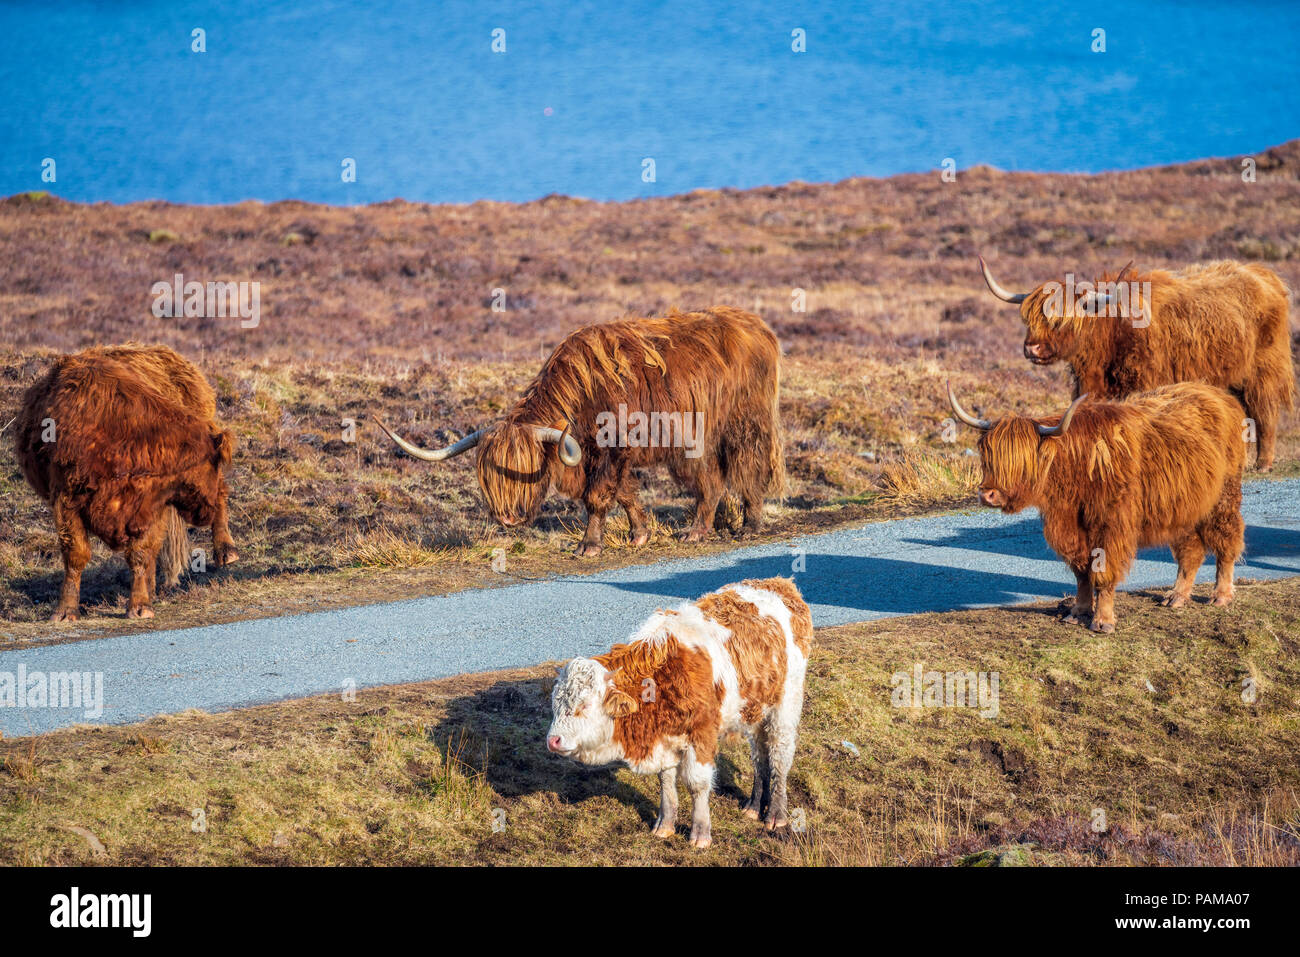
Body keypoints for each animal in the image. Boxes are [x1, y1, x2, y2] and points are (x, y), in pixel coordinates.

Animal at [13, 343, 239, 621]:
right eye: (212, 464)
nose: (204, 511)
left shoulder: (151, 508)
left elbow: (141, 553)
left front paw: (140, 607)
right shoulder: (66, 499)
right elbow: (76, 554)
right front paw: (65, 612)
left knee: (222, 493)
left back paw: (226, 551)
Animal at [371, 306, 785, 556]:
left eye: (526, 469)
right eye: (491, 477)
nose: (507, 519)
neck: (584, 398)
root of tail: (756, 325)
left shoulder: (612, 451)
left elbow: (599, 497)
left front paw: (589, 545)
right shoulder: (608, 458)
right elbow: (625, 494)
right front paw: (639, 533)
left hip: (745, 424)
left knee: (748, 469)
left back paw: (746, 526)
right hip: (700, 439)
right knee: (711, 480)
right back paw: (703, 529)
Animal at [543, 574, 806, 842]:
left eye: (585, 704)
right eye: (555, 703)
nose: (553, 740)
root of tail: (779, 583)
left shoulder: (701, 735)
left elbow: (697, 784)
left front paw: (700, 833)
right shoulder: (665, 740)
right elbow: (666, 781)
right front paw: (665, 824)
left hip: (785, 707)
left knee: (780, 757)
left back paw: (776, 815)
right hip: (756, 711)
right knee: (759, 756)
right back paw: (754, 806)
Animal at [951, 382, 1242, 634]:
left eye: (1021, 460)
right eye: (988, 456)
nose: (988, 494)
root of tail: (1216, 393)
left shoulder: (1109, 527)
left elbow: (1102, 573)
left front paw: (1103, 621)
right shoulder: (1070, 529)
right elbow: (1081, 572)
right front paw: (1078, 611)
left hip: (1224, 497)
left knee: (1227, 540)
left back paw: (1221, 595)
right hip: (1184, 508)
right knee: (1190, 550)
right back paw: (1177, 595)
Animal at [977, 257, 1294, 470]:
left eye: (1061, 320)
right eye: (1028, 320)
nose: (1032, 348)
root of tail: (1263, 274)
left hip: (1263, 370)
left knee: (1265, 412)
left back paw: (1263, 463)